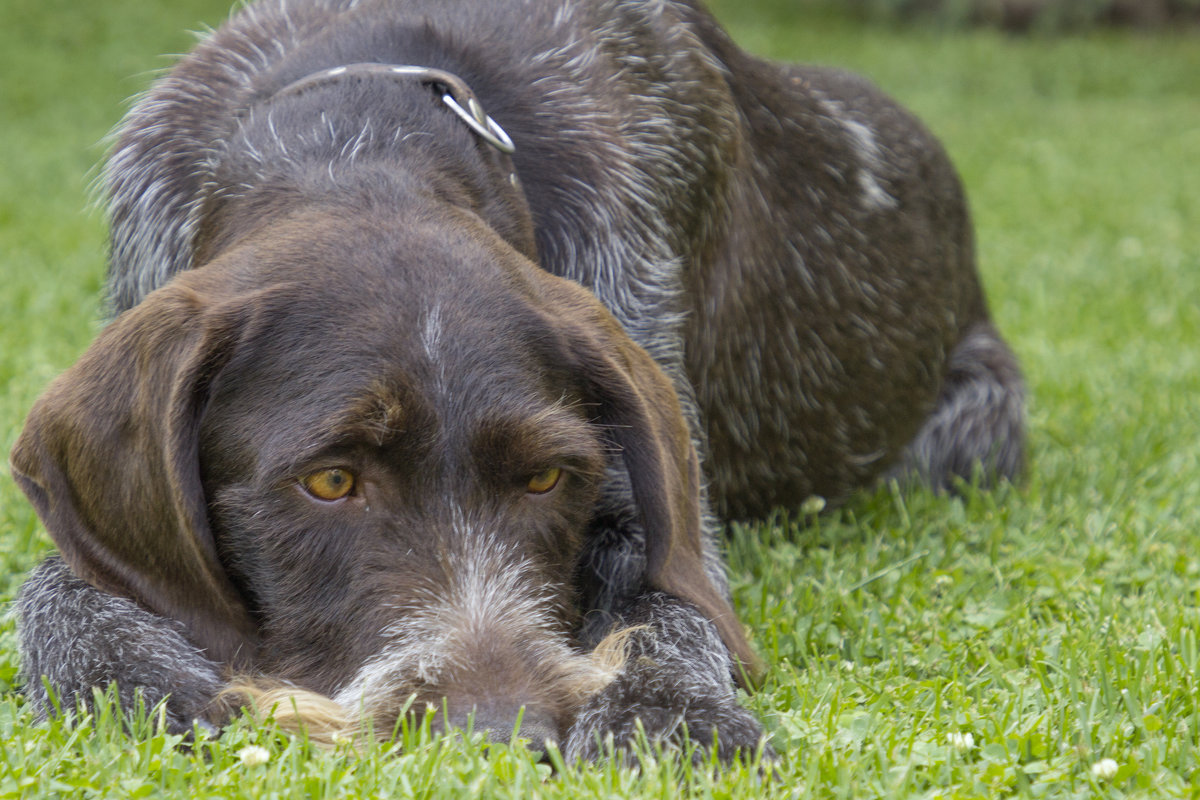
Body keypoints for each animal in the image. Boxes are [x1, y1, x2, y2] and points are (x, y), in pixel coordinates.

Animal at [9, 0, 1022, 762]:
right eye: (330, 481)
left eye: (543, 478)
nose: (498, 733)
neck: (360, 135)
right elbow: (64, 586)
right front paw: (143, 680)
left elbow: (670, 602)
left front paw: (672, 715)